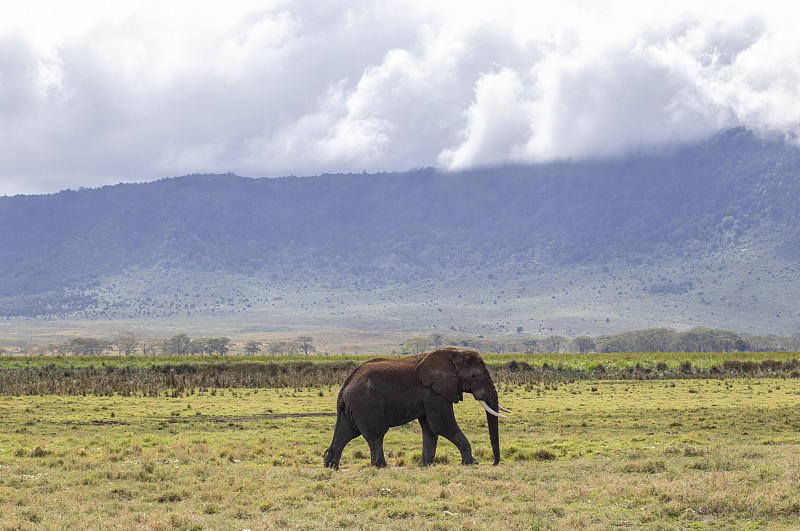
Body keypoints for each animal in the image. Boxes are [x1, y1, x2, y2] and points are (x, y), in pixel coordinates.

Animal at [322, 350, 510, 470]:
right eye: (473, 376)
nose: (493, 463)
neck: (455, 353)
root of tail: (344, 387)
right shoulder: (433, 392)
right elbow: (442, 424)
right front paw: (472, 463)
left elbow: (430, 428)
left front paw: (427, 465)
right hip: (367, 404)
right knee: (375, 434)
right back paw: (381, 467)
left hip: (353, 407)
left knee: (345, 433)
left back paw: (331, 467)